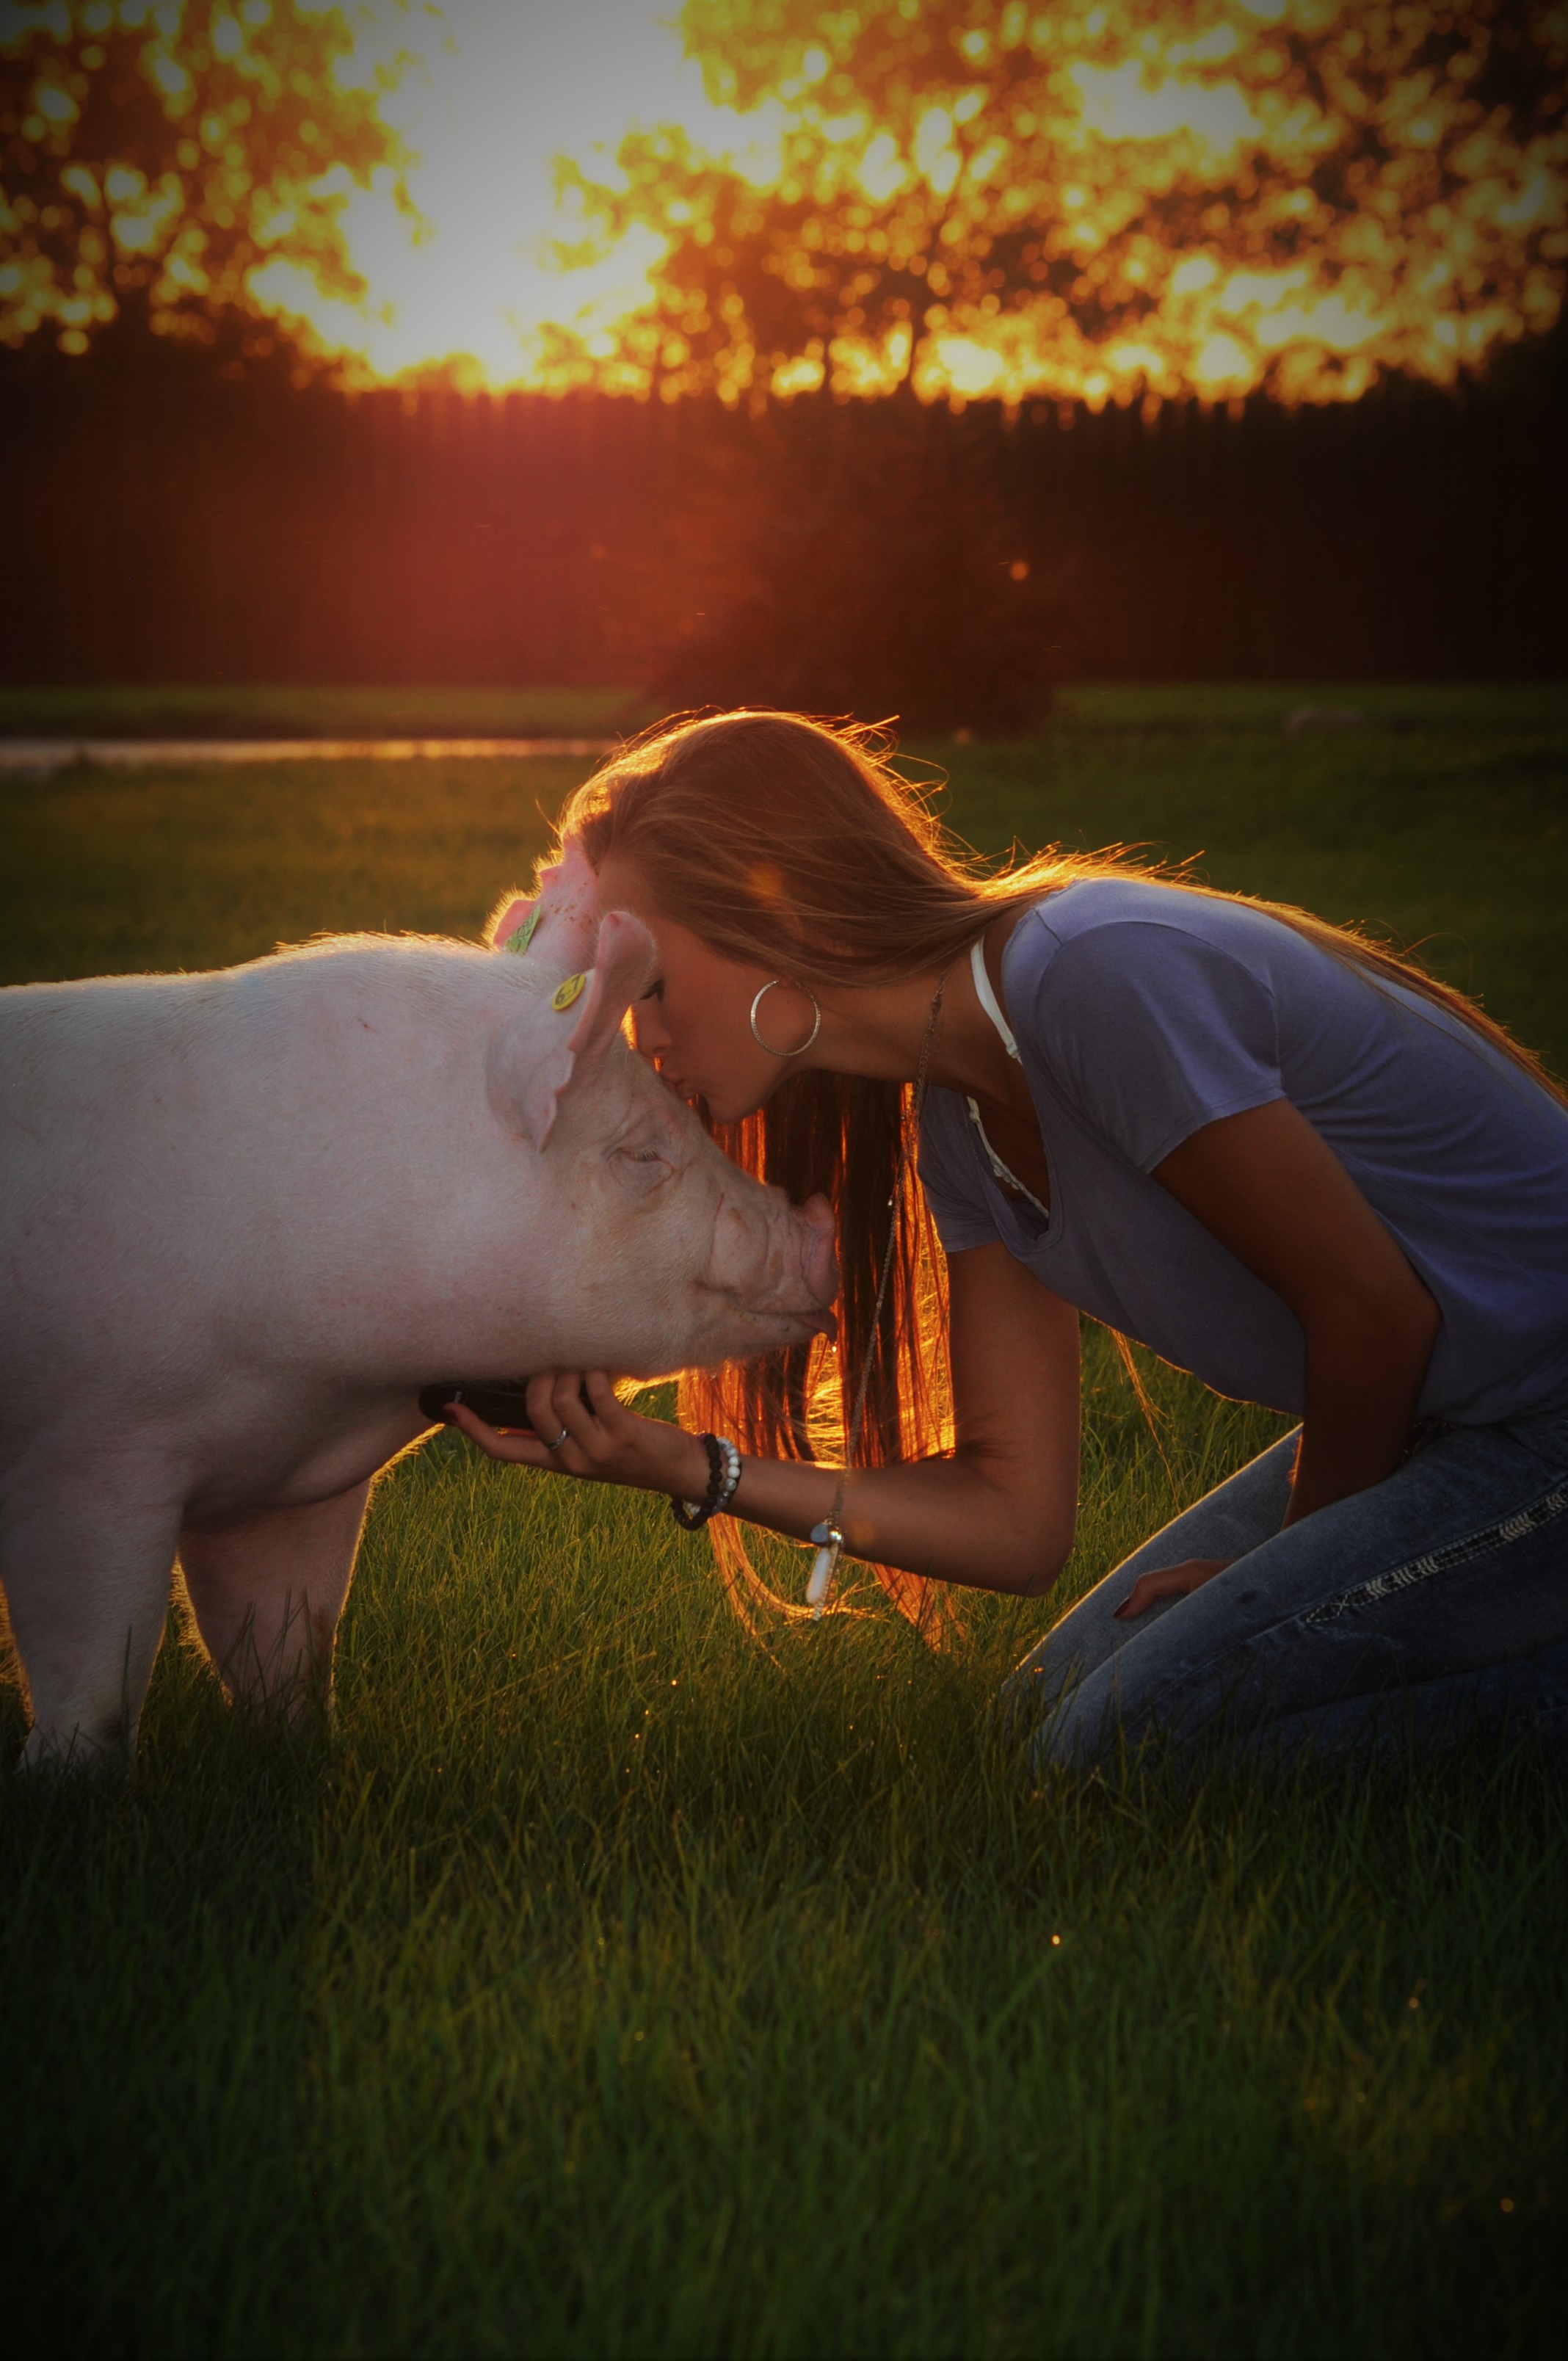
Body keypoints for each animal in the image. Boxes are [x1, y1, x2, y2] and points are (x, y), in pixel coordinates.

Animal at [0, 849, 841, 1775]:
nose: (823, 1226)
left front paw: (299, 1758)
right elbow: (97, 1680)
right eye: (643, 1153)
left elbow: (289, 1650)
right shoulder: (89, 1449)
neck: (317, 1389)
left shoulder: (285, 1492)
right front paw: (65, 1782)